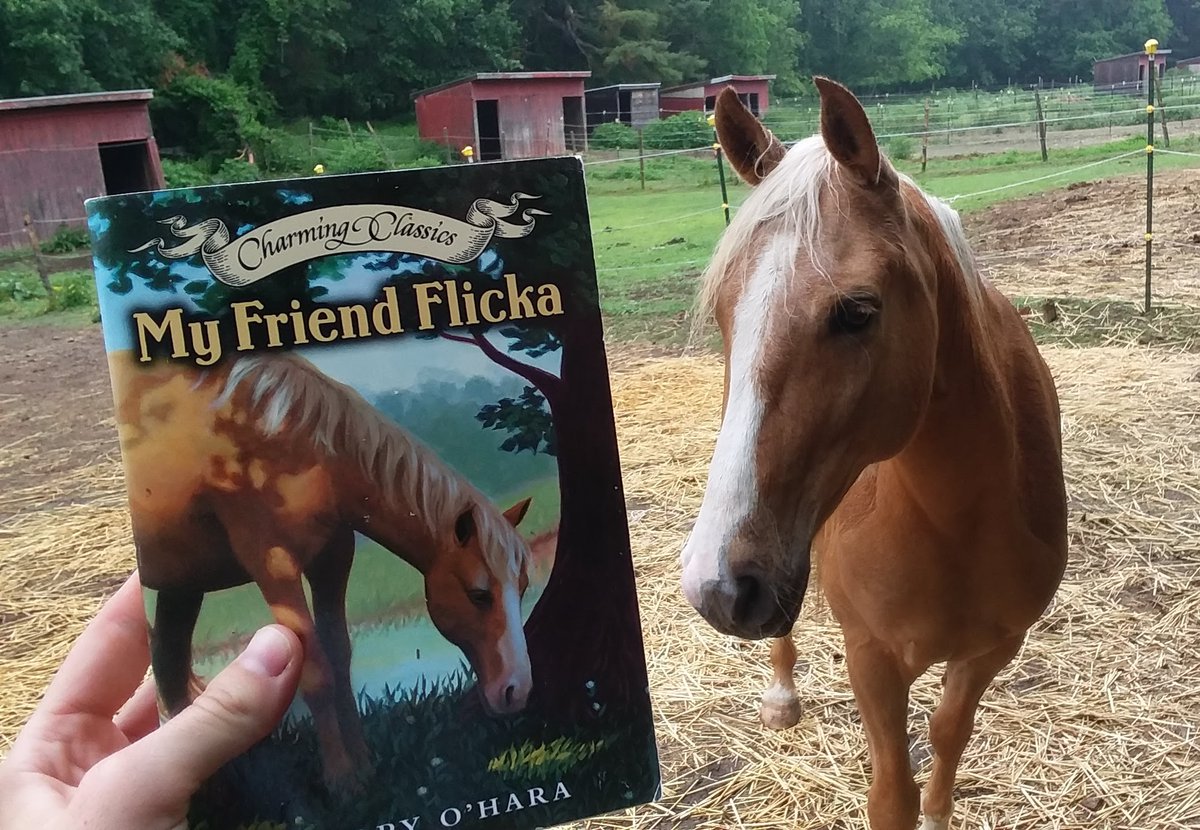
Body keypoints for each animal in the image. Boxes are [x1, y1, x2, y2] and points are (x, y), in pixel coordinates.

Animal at [108, 348, 535, 791]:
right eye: (479, 594)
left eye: (522, 589)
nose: (517, 690)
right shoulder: (273, 563)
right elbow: (316, 671)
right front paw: (341, 778)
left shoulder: (332, 559)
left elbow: (340, 656)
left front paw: (363, 767)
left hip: (183, 586)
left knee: (171, 664)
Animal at [680, 79, 1067, 829]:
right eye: (723, 314)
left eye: (857, 311)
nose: (718, 588)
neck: (956, 521)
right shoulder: (872, 656)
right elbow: (892, 794)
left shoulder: (995, 648)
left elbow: (948, 736)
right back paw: (781, 698)